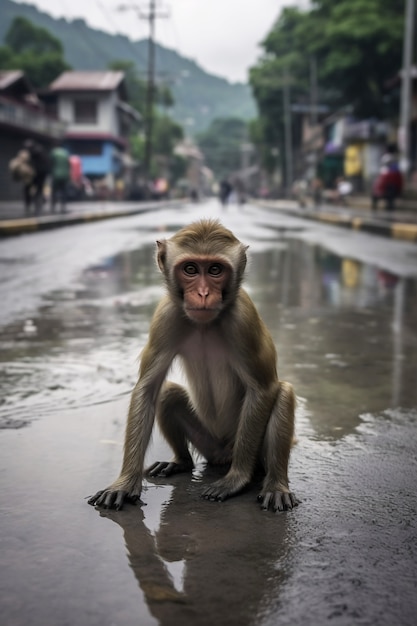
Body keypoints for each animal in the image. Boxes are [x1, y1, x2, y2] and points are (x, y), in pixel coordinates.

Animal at [88, 219, 296, 512]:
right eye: (190, 269)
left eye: (215, 270)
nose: (203, 293)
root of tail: (222, 454)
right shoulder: (165, 316)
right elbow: (148, 388)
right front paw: (125, 483)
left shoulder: (243, 319)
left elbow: (263, 389)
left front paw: (236, 480)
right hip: (207, 443)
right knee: (169, 394)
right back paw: (181, 462)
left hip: (246, 451)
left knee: (283, 393)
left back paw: (275, 484)